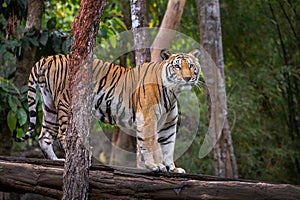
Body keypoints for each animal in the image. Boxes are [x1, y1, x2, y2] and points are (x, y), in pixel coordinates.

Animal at [14, 47, 202, 173]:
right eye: (177, 66)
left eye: (191, 66)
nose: (188, 78)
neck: (172, 93)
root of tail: (50, 57)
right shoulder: (148, 119)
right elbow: (149, 144)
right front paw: (155, 166)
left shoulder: (168, 125)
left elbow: (168, 147)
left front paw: (172, 168)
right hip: (66, 104)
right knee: (62, 135)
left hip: (49, 106)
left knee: (44, 136)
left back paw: (57, 161)